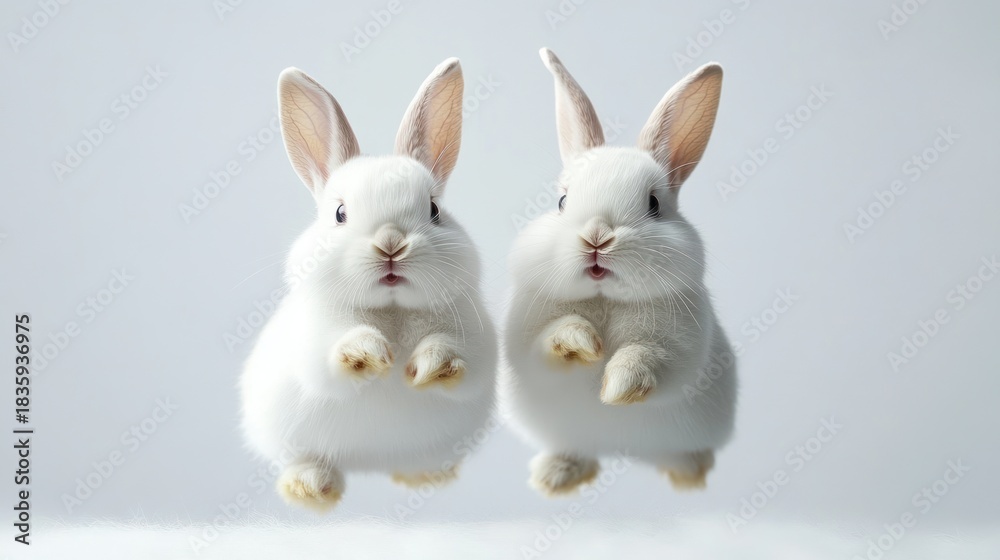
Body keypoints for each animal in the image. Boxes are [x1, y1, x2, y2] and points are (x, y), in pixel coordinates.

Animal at [240, 58, 497, 511]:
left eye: (434, 210)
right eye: (340, 213)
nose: (390, 243)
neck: (391, 310)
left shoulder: (477, 349)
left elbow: (454, 356)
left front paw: (427, 366)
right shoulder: (315, 348)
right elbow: (337, 355)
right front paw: (370, 355)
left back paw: (424, 476)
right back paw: (310, 489)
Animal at [501, 48, 737, 496]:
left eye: (654, 204)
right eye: (561, 201)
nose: (597, 238)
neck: (605, 299)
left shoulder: (677, 350)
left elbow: (646, 356)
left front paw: (615, 388)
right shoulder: (528, 345)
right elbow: (551, 340)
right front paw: (581, 343)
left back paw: (688, 475)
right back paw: (555, 477)